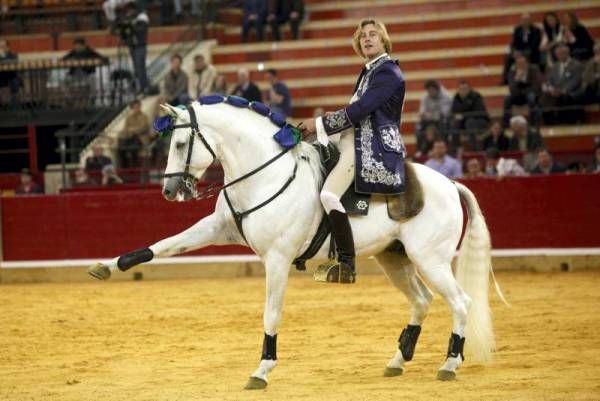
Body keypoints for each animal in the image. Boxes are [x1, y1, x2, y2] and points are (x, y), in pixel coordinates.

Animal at [88, 99, 502, 388]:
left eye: (177, 143)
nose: (170, 190)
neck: (264, 174)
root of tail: (450, 184)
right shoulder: (217, 228)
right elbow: (163, 245)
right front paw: (107, 267)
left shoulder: (276, 259)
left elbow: (271, 314)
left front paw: (262, 370)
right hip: (394, 258)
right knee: (422, 301)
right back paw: (398, 360)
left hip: (430, 259)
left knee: (460, 302)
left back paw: (449, 363)